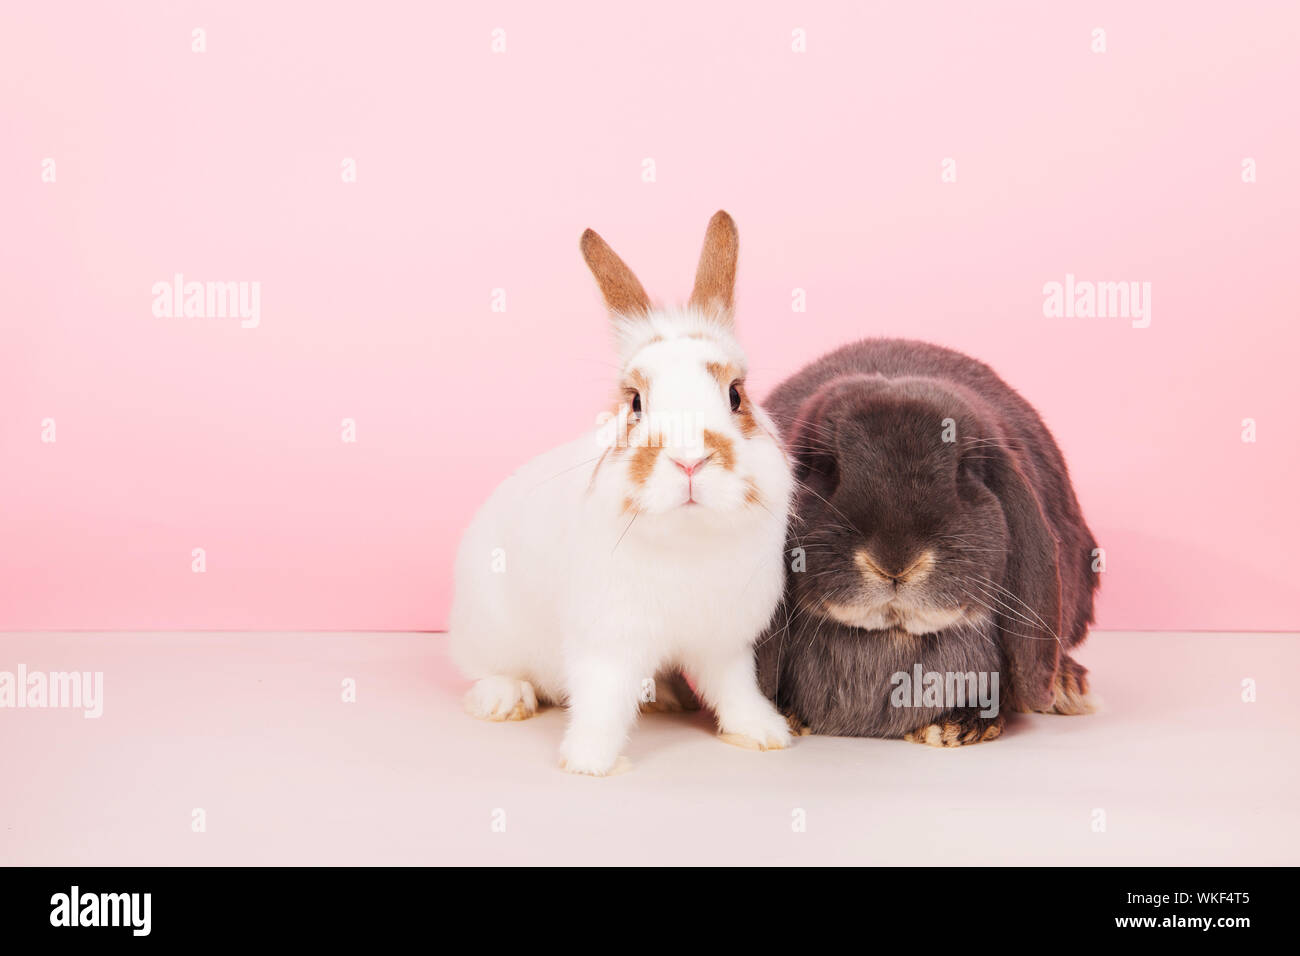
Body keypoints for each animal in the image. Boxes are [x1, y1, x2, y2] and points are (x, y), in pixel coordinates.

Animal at [447, 210, 790, 780]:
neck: (687, 543)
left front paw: (764, 734)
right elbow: (603, 701)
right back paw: (504, 698)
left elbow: (735, 689)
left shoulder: (723, 643)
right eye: (634, 403)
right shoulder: (607, 643)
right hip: (485, 627)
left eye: (736, 395)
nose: (689, 459)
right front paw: (590, 762)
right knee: (482, 670)